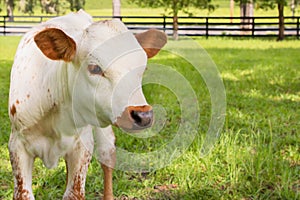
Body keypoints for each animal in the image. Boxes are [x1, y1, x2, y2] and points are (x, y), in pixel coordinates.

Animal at [8, 9, 166, 200]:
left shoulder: (82, 147)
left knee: (107, 156)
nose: (143, 115)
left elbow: (74, 192)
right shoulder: (17, 145)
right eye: (95, 68)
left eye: (142, 68)